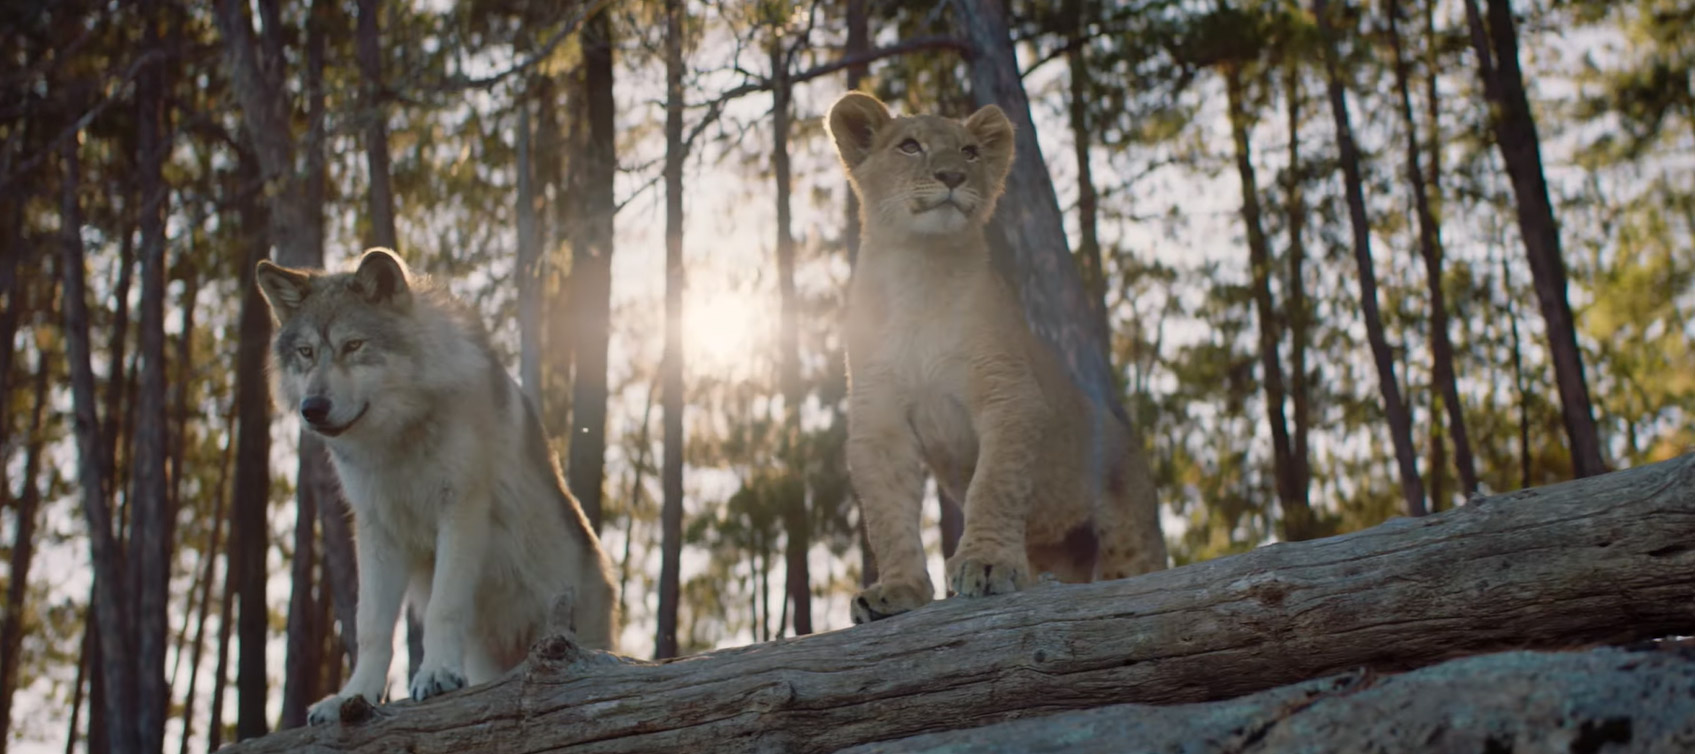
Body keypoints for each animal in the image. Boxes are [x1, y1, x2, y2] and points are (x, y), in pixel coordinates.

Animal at [257, 249, 616, 721]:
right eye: (306, 352)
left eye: (354, 346)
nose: (312, 407)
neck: (398, 438)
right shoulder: (377, 531)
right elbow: (371, 628)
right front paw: (353, 697)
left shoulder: (461, 508)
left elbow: (444, 606)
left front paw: (436, 675)